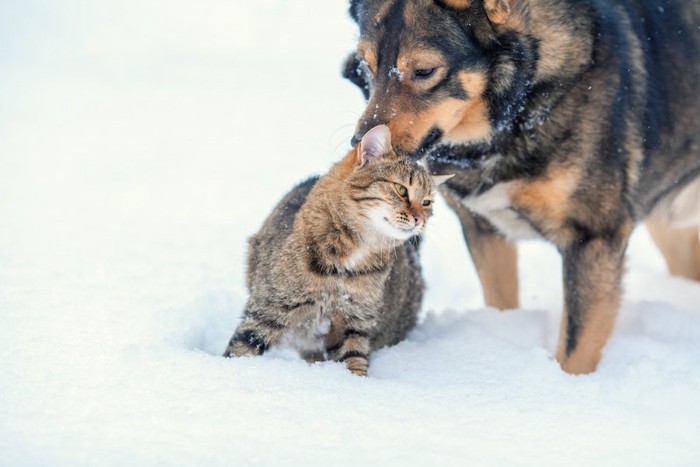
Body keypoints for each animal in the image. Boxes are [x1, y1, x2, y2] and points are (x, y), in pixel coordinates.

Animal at [226, 126, 454, 378]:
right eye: (401, 189)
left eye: (427, 203)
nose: (420, 220)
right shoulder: (269, 308)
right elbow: (241, 348)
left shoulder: (355, 321)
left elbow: (354, 359)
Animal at [344, 0, 700, 374]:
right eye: (365, 66)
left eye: (425, 71)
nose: (359, 144)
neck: (521, 108)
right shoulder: (483, 229)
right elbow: (500, 301)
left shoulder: (593, 238)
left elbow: (576, 347)